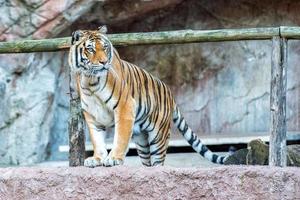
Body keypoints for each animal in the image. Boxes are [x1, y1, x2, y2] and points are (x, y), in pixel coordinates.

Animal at [68, 25, 227, 167]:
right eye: (90, 49)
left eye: (105, 47)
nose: (104, 62)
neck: (90, 81)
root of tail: (170, 94)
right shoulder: (91, 114)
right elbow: (97, 139)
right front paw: (97, 159)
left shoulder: (125, 105)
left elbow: (120, 137)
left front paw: (114, 158)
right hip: (142, 141)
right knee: (147, 162)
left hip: (158, 137)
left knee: (158, 162)